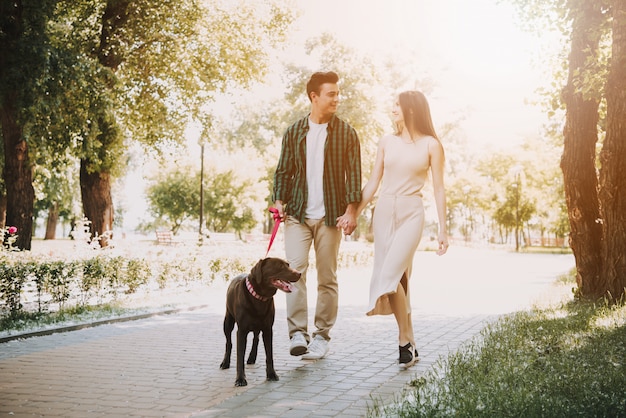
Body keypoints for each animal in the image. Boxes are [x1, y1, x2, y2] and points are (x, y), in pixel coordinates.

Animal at [218, 256, 298, 386]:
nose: (299, 273)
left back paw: (251, 357)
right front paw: (240, 379)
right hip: (228, 322)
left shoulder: (268, 329)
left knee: (256, 338)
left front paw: (271, 374)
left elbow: (269, 354)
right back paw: (225, 362)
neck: (259, 298)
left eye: (288, 265)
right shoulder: (241, 331)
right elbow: (240, 357)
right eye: (280, 266)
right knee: (229, 343)